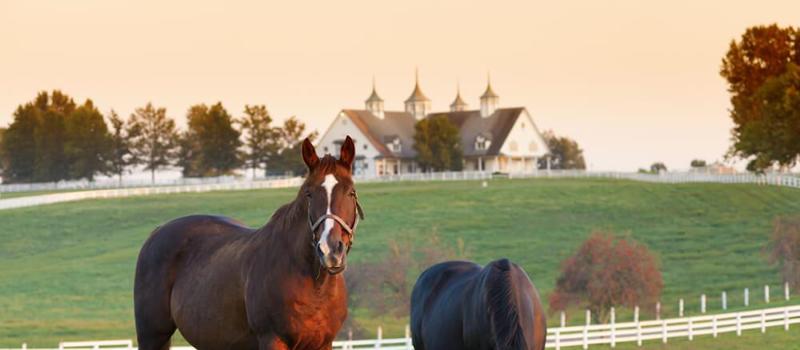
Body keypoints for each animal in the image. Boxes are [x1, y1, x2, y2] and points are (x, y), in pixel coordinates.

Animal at [134, 135, 366, 348]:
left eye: (351, 192)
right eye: (309, 194)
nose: (330, 250)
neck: (314, 285)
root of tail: (156, 233)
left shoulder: (323, 343)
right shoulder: (272, 339)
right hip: (152, 336)